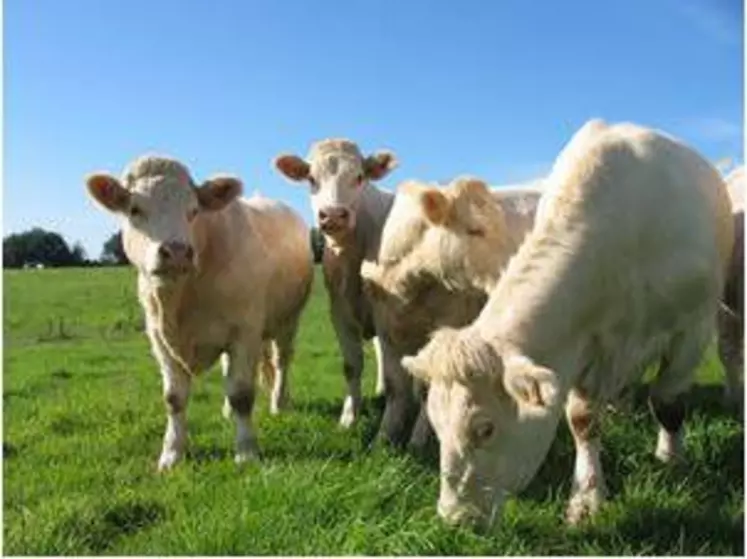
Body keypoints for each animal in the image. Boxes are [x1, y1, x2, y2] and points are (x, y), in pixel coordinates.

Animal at [84, 155, 312, 470]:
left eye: (193, 211)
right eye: (134, 209)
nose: (177, 251)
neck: (181, 300)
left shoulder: (244, 332)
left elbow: (242, 393)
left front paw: (246, 451)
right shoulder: (159, 339)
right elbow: (174, 398)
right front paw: (172, 454)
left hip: (287, 320)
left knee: (281, 362)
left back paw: (279, 402)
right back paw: (227, 411)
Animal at [360, 179, 540, 450]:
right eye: (474, 229)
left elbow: (428, 387)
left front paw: (418, 441)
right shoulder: (386, 330)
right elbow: (394, 388)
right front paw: (383, 439)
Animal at [400, 120, 732, 532]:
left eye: (485, 429)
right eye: (436, 424)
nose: (454, 519)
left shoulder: (693, 327)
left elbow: (667, 401)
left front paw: (670, 458)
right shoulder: (584, 340)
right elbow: (582, 418)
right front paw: (587, 498)